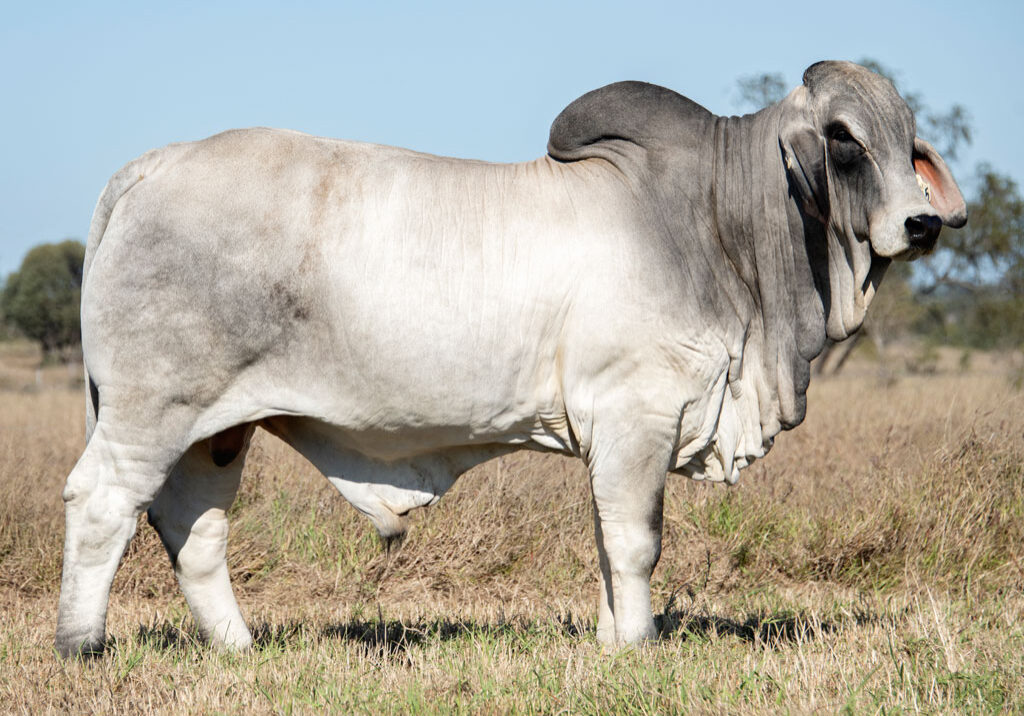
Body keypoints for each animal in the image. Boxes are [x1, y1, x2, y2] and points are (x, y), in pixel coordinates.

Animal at [56, 61, 966, 657]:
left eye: (908, 140)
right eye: (843, 140)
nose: (921, 224)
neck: (719, 222)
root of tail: (153, 166)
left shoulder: (616, 439)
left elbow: (605, 542)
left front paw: (610, 643)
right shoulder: (638, 416)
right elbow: (636, 543)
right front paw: (639, 648)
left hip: (215, 428)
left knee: (193, 526)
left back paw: (239, 648)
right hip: (151, 412)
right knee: (103, 504)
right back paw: (80, 643)